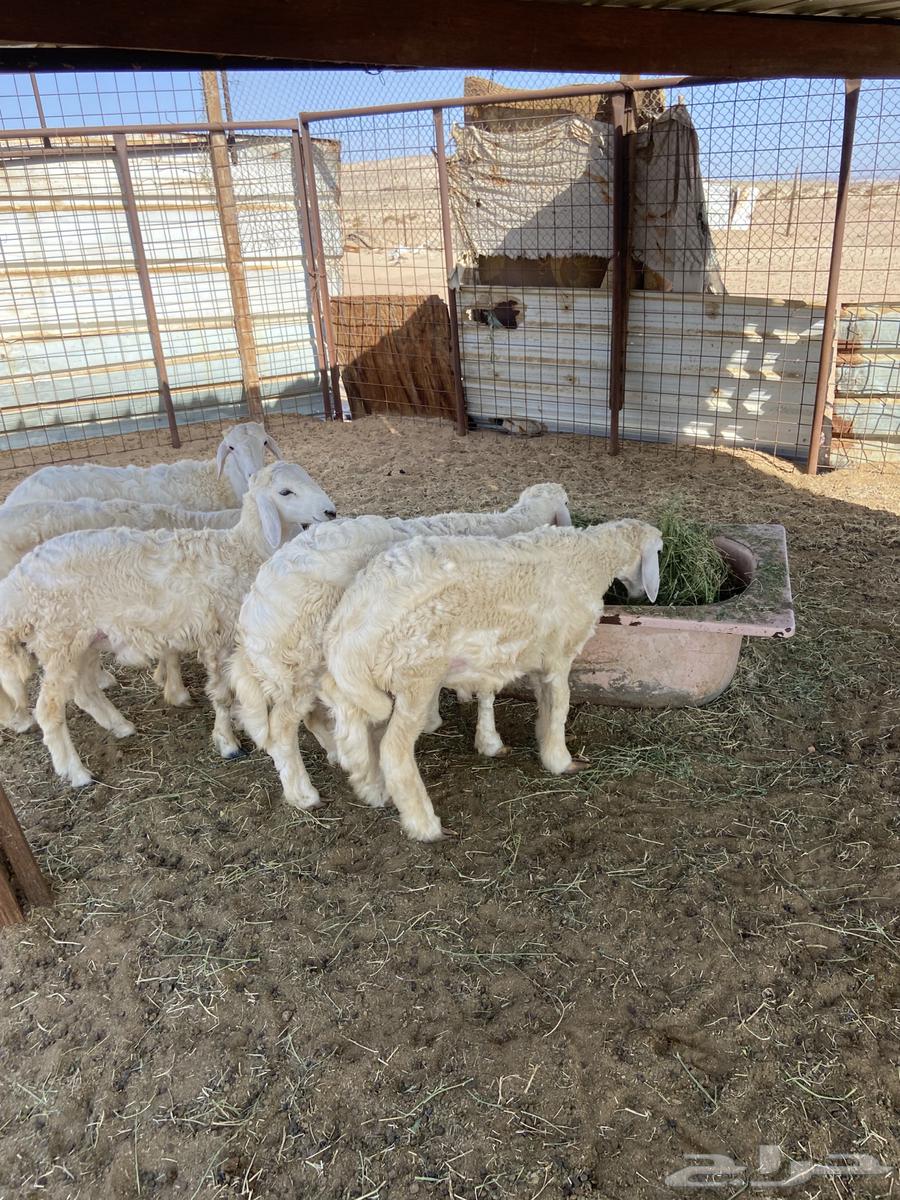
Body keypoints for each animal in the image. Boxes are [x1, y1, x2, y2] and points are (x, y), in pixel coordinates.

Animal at [0, 463, 337, 787]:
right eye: (285, 492)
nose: (331, 512)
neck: (241, 550)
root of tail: (17, 584)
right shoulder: (220, 637)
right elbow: (222, 695)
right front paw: (227, 743)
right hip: (58, 641)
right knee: (48, 709)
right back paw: (76, 772)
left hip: (84, 640)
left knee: (83, 691)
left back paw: (120, 726)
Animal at [228, 483, 571, 811]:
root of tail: (253, 607)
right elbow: (488, 688)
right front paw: (490, 740)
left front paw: (434, 718)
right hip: (300, 664)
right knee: (281, 730)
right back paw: (303, 794)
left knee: (310, 719)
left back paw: (338, 753)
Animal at [320, 518, 662, 841]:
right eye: (657, 553)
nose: (638, 594)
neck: (591, 559)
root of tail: (350, 623)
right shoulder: (558, 654)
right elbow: (559, 706)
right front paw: (560, 760)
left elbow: (523, 700)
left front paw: (510, 742)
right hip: (416, 676)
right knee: (393, 749)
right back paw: (425, 825)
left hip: (367, 687)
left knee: (360, 737)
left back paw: (376, 792)